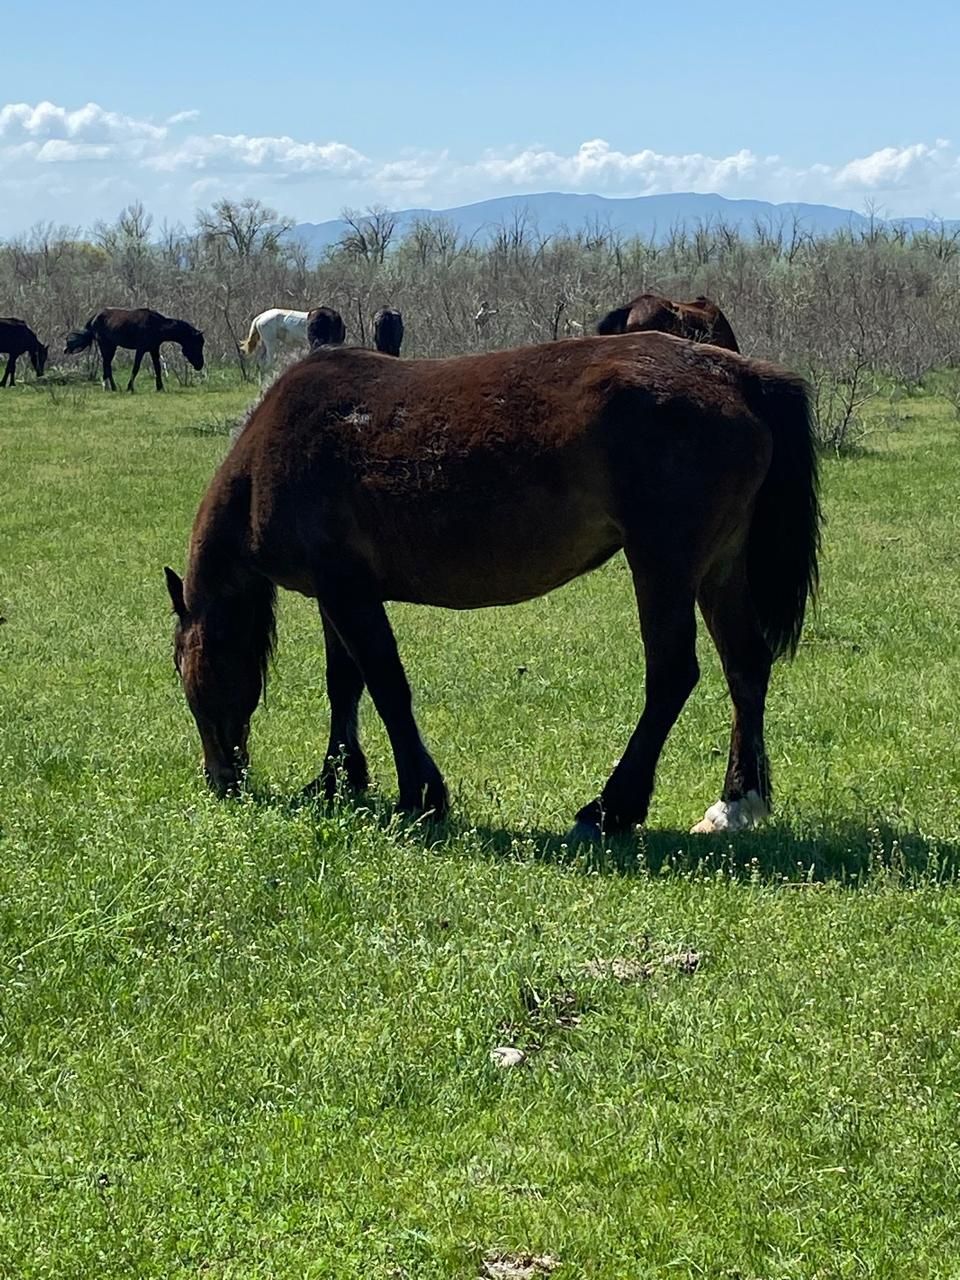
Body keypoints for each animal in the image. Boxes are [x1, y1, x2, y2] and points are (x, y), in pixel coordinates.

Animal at [65, 307, 207, 391]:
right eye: (198, 343)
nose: (200, 364)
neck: (157, 325)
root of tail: (95, 317)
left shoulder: (154, 349)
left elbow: (157, 368)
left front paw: (160, 388)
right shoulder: (141, 349)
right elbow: (136, 367)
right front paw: (130, 387)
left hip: (110, 347)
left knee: (107, 366)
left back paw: (111, 388)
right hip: (106, 346)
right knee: (107, 366)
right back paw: (112, 387)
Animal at [163, 332, 819, 839]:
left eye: (191, 671)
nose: (220, 780)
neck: (271, 452)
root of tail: (734, 375)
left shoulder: (348, 592)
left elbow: (386, 684)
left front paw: (419, 795)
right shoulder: (335, 593)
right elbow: (344, 684)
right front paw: (337, 779)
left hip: (663, 565)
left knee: (672, 675)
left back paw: (609, 809)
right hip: (718, 568)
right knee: (745, 666)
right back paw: (735, 804)